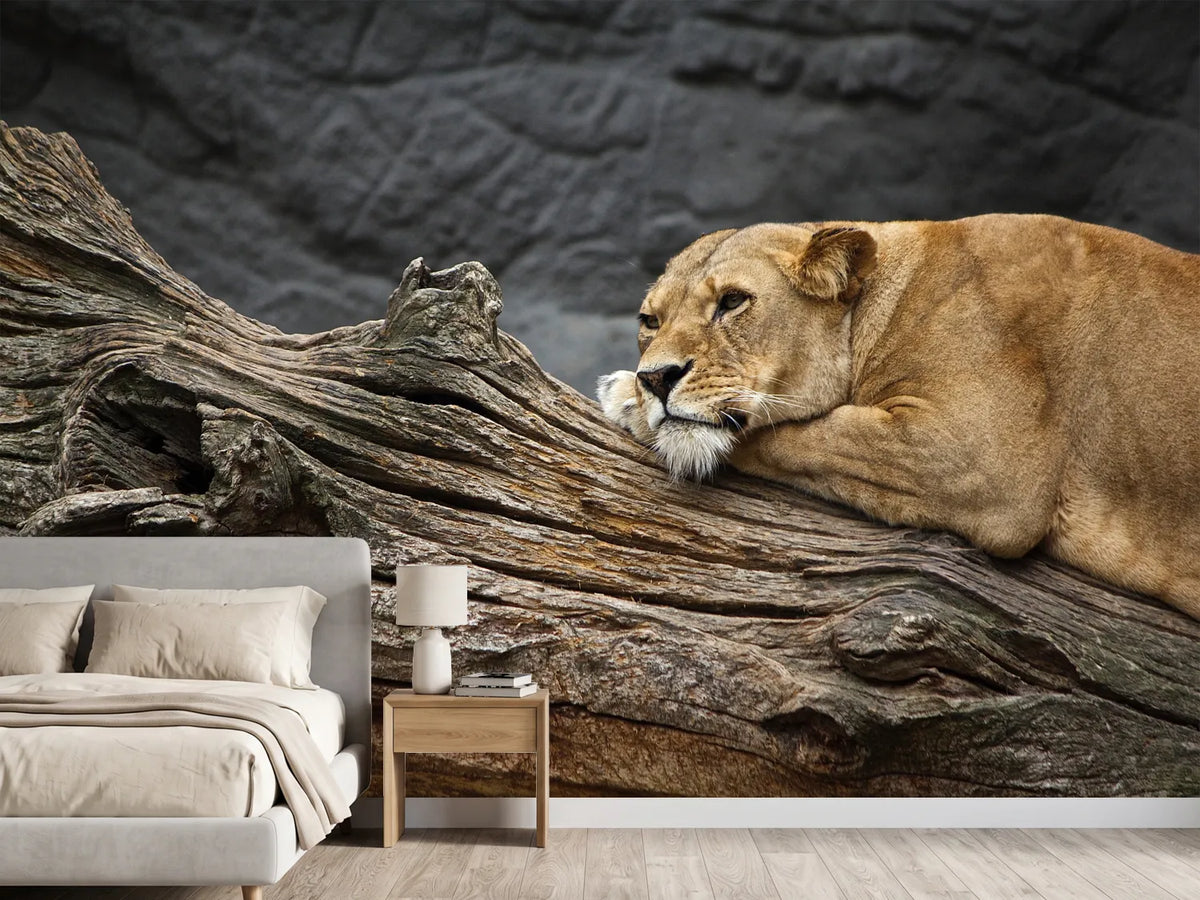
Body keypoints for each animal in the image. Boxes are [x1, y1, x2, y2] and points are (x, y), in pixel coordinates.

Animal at [598, 215, 1200, 620]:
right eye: (650, 320)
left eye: (732, 302)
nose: (656, 378)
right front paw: (629, 391)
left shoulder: (982, 458)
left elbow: (809, 432)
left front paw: (626, 399)